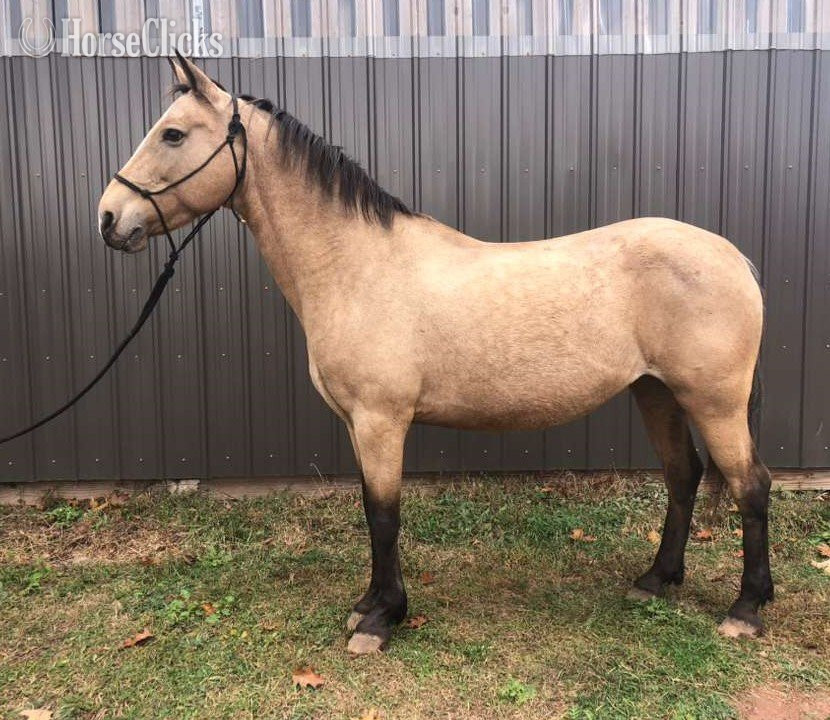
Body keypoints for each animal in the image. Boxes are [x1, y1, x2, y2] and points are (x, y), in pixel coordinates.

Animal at [98, 55, 772, 654]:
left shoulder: (381, 421)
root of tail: (734, 257)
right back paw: (656, 582)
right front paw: (368, 605)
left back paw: (746, 611)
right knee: (683, 474)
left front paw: (381, 621)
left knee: (751, 485)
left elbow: (384, 515)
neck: (356, 266)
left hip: (713, 401)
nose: (109, 218)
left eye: (173, 133)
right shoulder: (358, 424)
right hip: (655, 391)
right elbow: (371, 511)